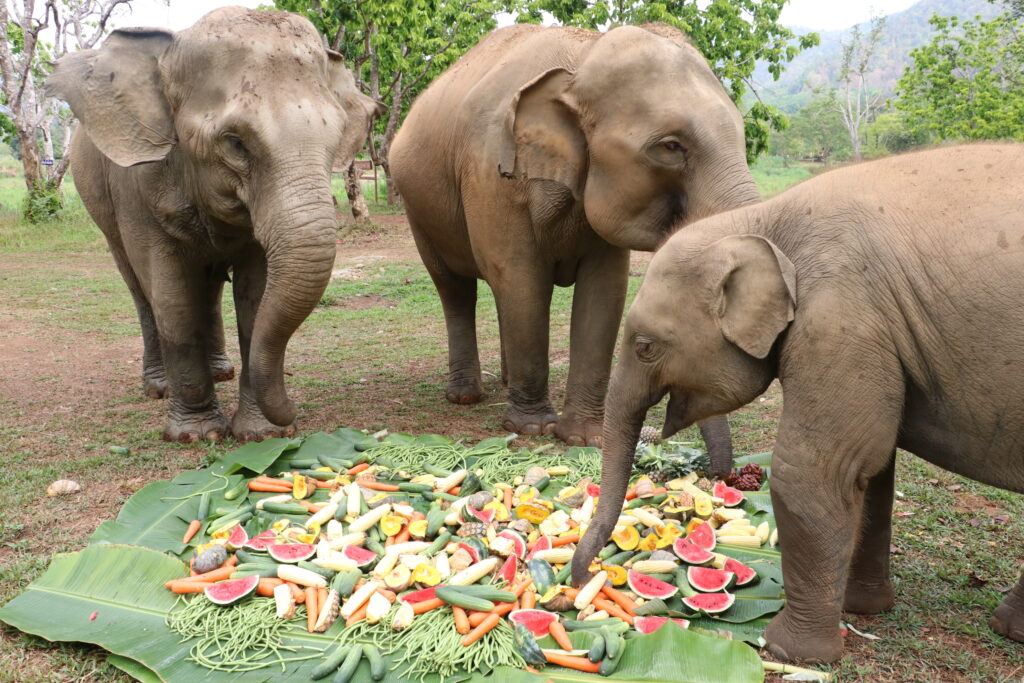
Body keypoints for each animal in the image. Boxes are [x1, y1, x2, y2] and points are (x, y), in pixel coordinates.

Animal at [46, 7, 380, 442]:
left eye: (337, 137)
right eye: (235, 142)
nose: (291, 413)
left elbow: (256, 293)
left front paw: (261, 435)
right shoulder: (135, 186)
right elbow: (170, 297)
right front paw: (196, 435)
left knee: (207, 288)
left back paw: (222, 372)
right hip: (103, 209)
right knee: (140, 288)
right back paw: (159, 387)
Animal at [389, 23, 758, 462]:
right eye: (671, 146)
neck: (582, 57)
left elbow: (605, 292)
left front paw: (585, 438)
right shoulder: (490, 176)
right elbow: (522, 279)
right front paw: (531, 428)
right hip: (418, 210)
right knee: (455, 289)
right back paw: (465, 396)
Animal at [572, 145, 1024, 662]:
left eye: (645, 346)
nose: (587, 578)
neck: (764, 219)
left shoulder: (842, 318)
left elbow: (814, 470)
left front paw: (789, 651)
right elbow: (872, 473)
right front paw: (859, 608)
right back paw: (1011, 628)